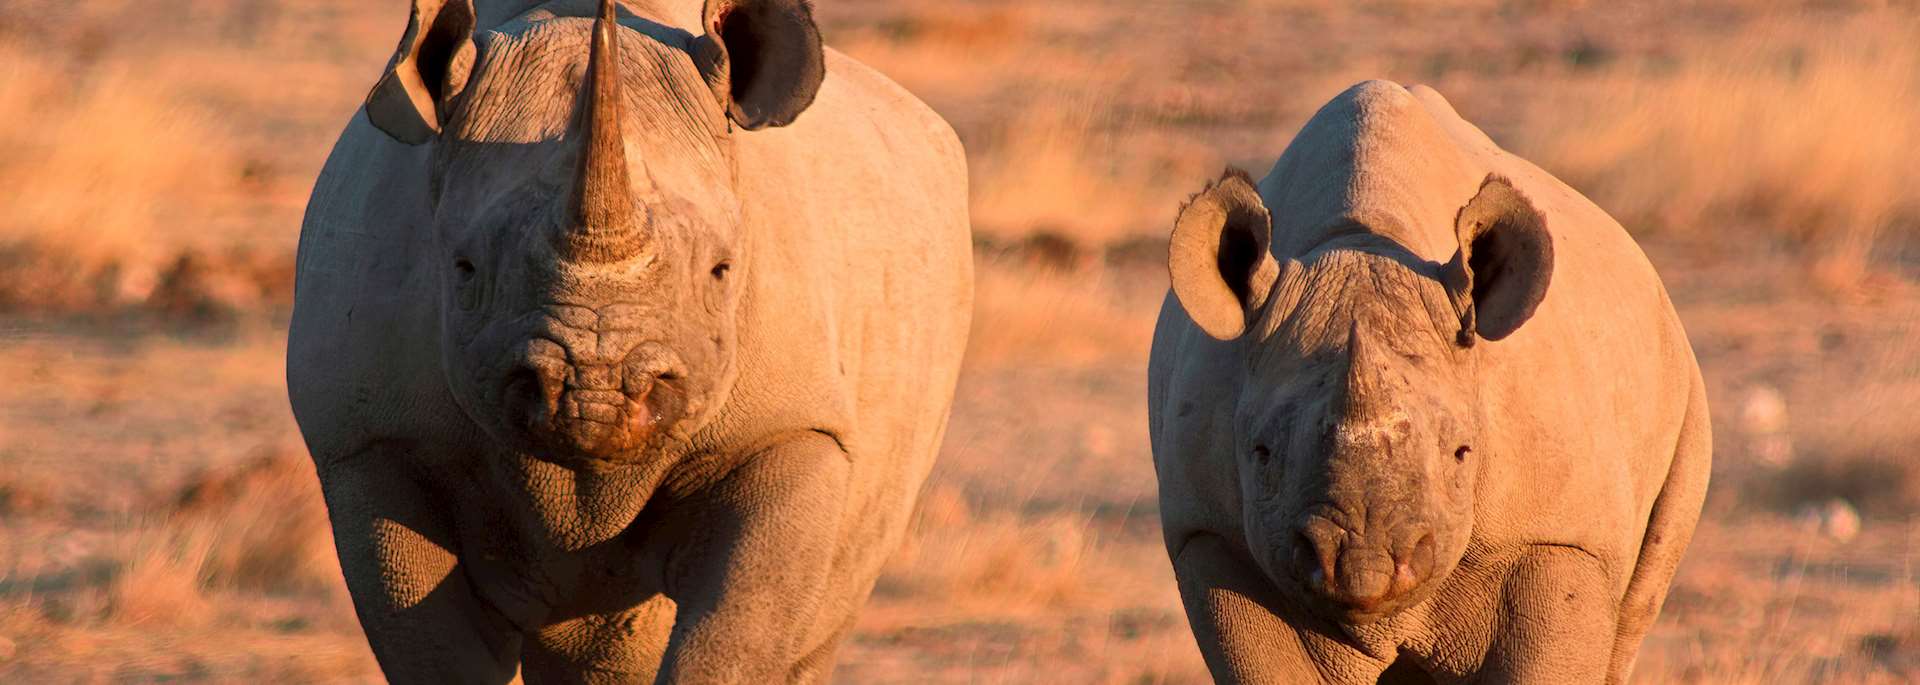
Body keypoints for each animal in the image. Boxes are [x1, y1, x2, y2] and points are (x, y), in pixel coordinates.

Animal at [286, 0, 971, 681]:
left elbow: (734, 636)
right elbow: (436, 650)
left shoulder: (791, 429)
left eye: (722, 270)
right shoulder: (373, 442)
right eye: (464, 268)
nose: (597, 396)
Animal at [1147, 81, 1711, 683]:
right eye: (1261, 453)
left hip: (1681, 389)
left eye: (1463, 452)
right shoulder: (1214, 537)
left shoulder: (1558, 536)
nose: (1362, 566)